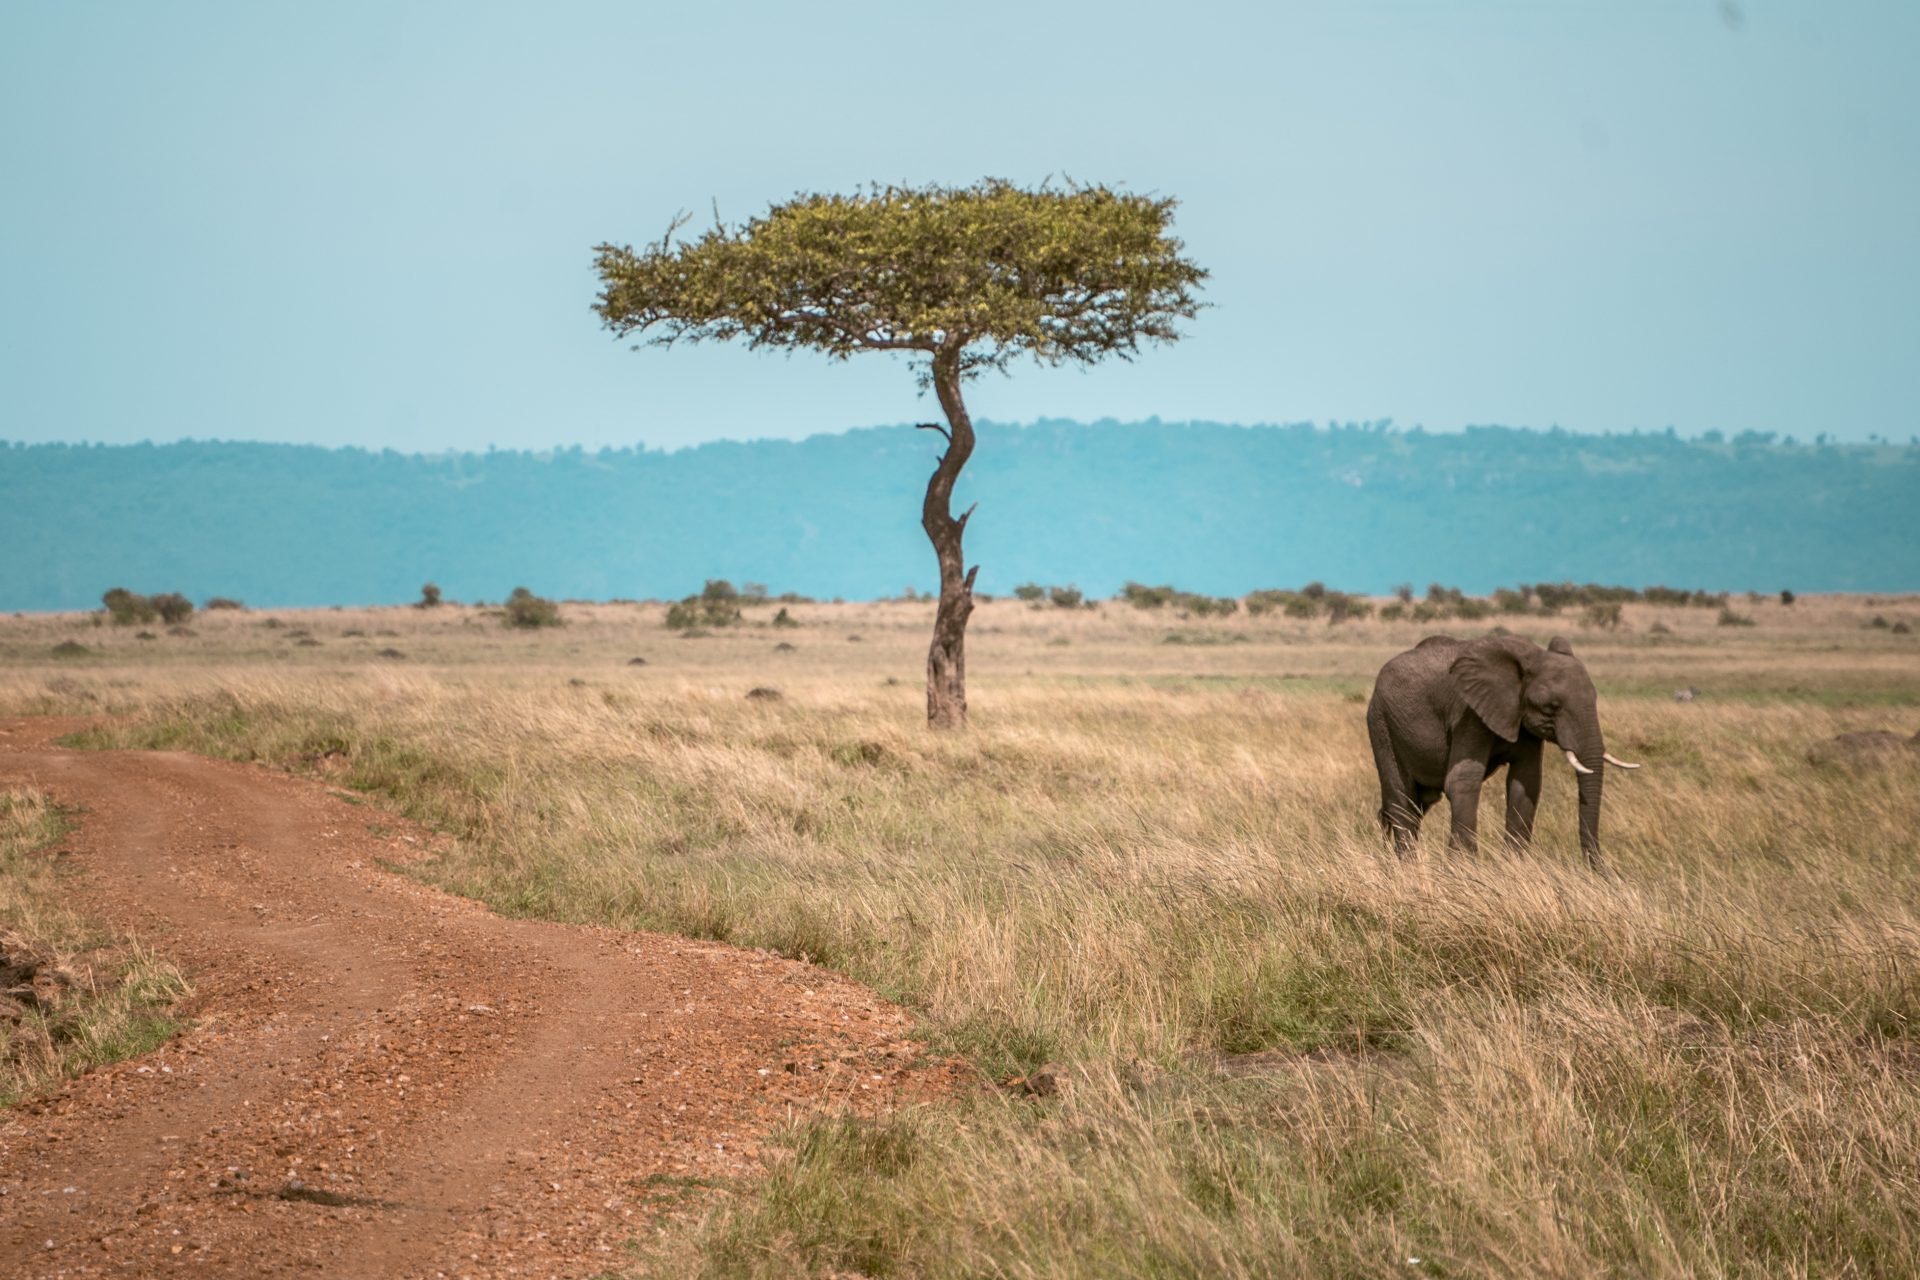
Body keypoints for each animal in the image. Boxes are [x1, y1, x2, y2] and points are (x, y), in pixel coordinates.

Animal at [1367, 633, 1635, 871]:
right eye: (1552, 707)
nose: (1605, 872)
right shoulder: (1468, 713)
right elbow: (1463, 780)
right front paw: (1463, 871)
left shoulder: (1522, 721)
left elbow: (1525, 783)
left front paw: (1512, 868)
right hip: (1382, 724)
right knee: (1401, 799)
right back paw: (1407, 869)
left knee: (1417, 804)